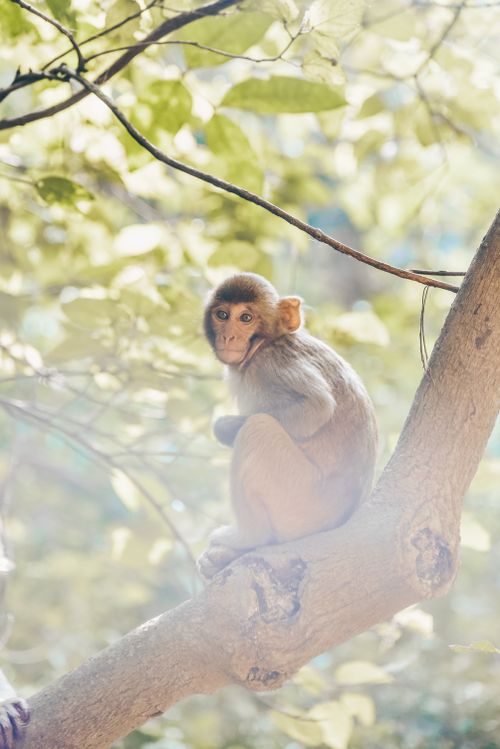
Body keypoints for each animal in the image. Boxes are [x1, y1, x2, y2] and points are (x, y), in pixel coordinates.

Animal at [198, 272, 378, 579]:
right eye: (222, 315)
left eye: (246, 318)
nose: (228, 336)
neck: (267, 342)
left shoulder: (272, 365)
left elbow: (317, 406)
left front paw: (225, 428)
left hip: (300, 499)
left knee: (258, 428)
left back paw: (248, 537)